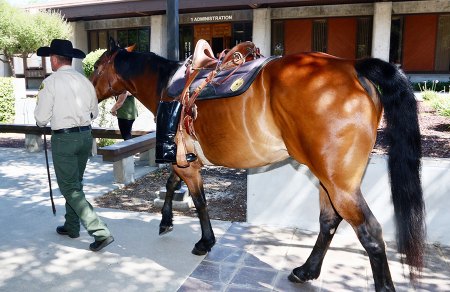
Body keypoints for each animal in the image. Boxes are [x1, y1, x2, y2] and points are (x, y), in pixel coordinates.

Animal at [91, 40, 426, 290]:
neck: (167, 83)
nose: (89, 98)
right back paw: (306, 271)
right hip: (328, 181)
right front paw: (166, 220)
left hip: (340, 185)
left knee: (370, 233)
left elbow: (198, 200)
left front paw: (204, 241)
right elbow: (172, 183)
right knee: (329, 221)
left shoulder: (185, 164)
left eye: (95, 67)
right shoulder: (184, 161)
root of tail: (352, 66)